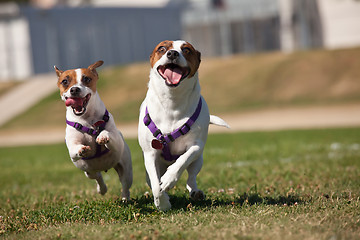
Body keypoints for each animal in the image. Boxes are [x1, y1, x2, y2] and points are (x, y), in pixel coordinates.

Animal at [53, 61, 132, 200]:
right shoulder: (72, 151)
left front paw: (103, 136)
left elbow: (109, 134)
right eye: (65, 81)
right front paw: (82, 149)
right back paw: (102, 189)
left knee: (125, 185)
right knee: (97, 177)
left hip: (126, 170)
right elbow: (75, 149)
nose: (74, 89)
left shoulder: (117, 143)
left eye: (86, 79)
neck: (87, 120)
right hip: (88, 171)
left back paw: (125, 198)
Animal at [138, 39, 228, 210]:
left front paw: (169, 178)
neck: (173, 101)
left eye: (186, 50)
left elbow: (183, 160)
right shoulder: (150, 153)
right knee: (152, 180)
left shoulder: (196, 146)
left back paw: (195, 192)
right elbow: (156, 185)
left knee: (191, 176)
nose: (172, 53)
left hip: (199, 161)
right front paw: (163, 203)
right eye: (161, 48)